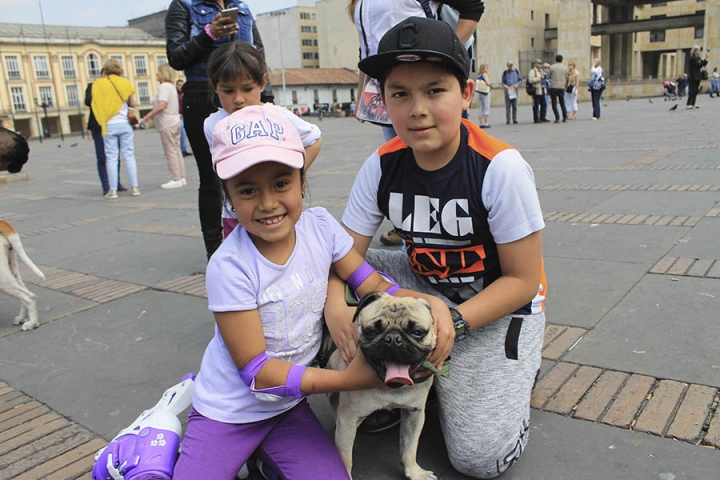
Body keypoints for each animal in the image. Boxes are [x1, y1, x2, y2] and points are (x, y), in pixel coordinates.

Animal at [328, 290, 438, 478]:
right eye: (371, 331)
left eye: (417, 332)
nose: (393, 338)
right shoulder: (348, 419)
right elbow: (345, 458)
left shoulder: (414, 413)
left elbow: (410, 447)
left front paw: (415, 472)